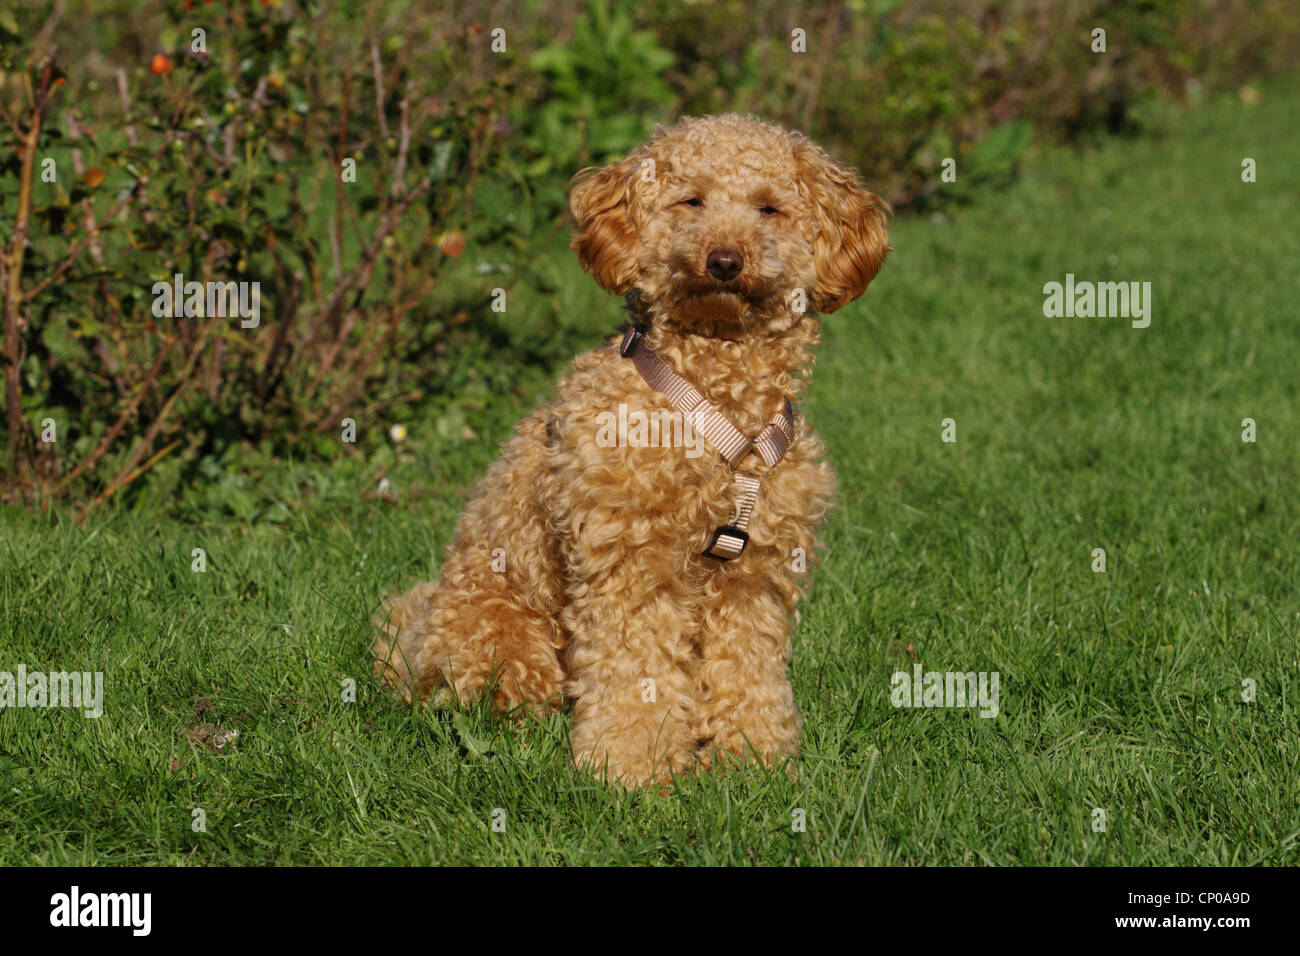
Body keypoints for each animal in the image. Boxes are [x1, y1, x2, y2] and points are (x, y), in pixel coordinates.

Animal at [371, 113, 889, 785]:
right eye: (690, 201)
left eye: (769, 209)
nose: (725, 260)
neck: (714, 392)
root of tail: (414, 635)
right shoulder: (632, 563)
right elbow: (636, 675)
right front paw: (630, 771)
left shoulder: (757, 575)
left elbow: (748, 672)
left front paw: (753, 763)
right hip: (504, 638)